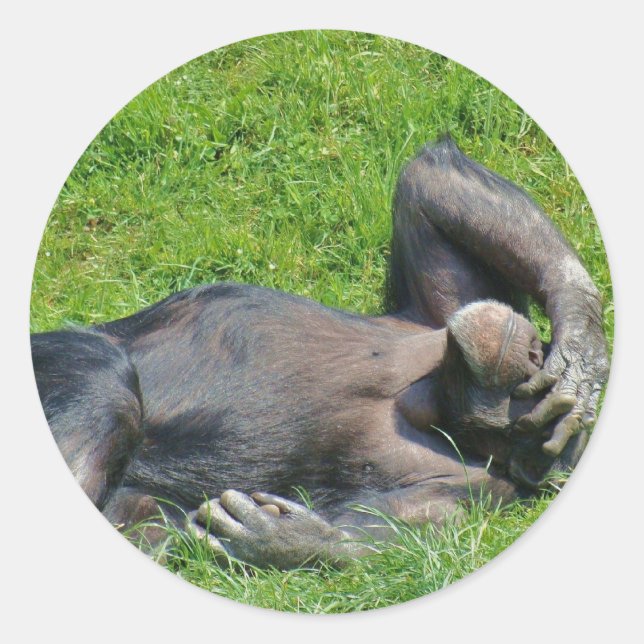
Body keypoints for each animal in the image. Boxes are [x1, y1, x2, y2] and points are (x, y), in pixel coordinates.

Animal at [31, 137, 609, 569]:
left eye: (521, 404)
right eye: (529, 382)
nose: (531, 351)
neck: (423, 399)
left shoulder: (466, 494)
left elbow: (382, 538)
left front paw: (283, 540)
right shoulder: (441, 312)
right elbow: (429, 184)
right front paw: (580, 345)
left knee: (104, 390)